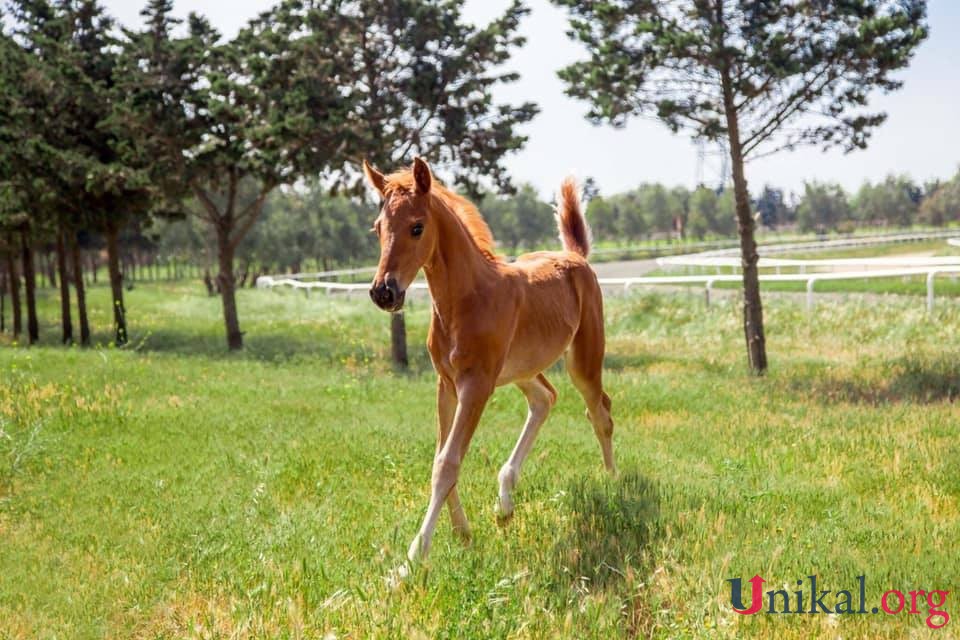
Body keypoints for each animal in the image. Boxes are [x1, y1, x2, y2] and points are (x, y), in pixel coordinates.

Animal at [364, 158, 612, 568]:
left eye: (417, 227)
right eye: (378, 227)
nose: (383, 292)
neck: (465, 300)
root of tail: (576, 257)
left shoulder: (476, 386)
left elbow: (447, 463)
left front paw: (413, 559)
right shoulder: (446, 384)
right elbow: (441, 456)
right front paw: (463, 533)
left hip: (583, 361)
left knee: (600, 410)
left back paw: (614, 481)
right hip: (520, 369)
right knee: (545, 399)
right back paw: (505, 502)